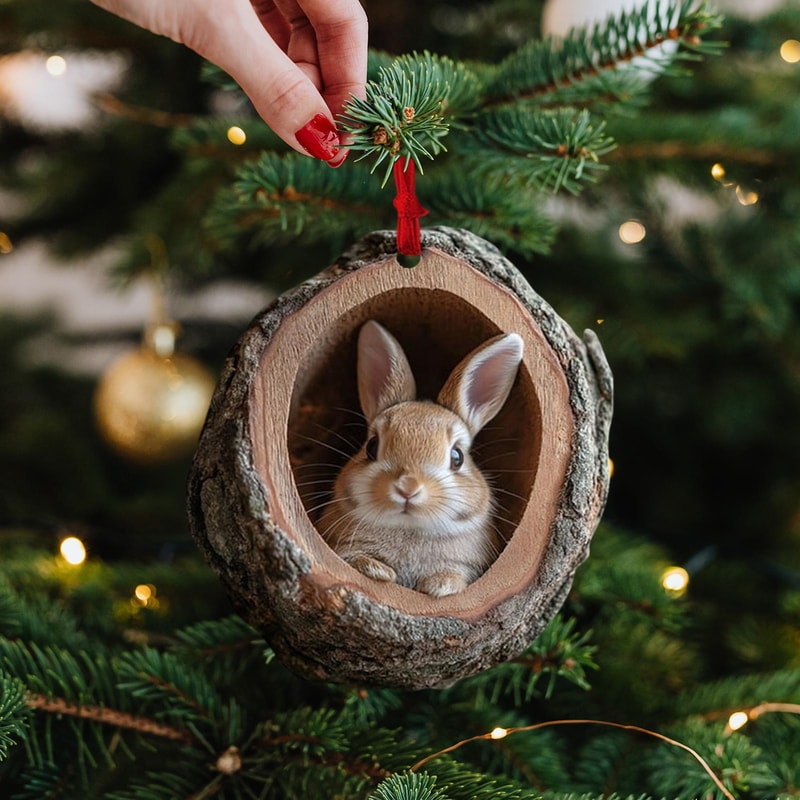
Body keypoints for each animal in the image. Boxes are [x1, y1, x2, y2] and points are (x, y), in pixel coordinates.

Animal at [318, 319, 524, 598]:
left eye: (457, 457)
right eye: (372, 446)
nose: (408, 488)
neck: (409, 528)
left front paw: (440, 585)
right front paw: (378, 571)